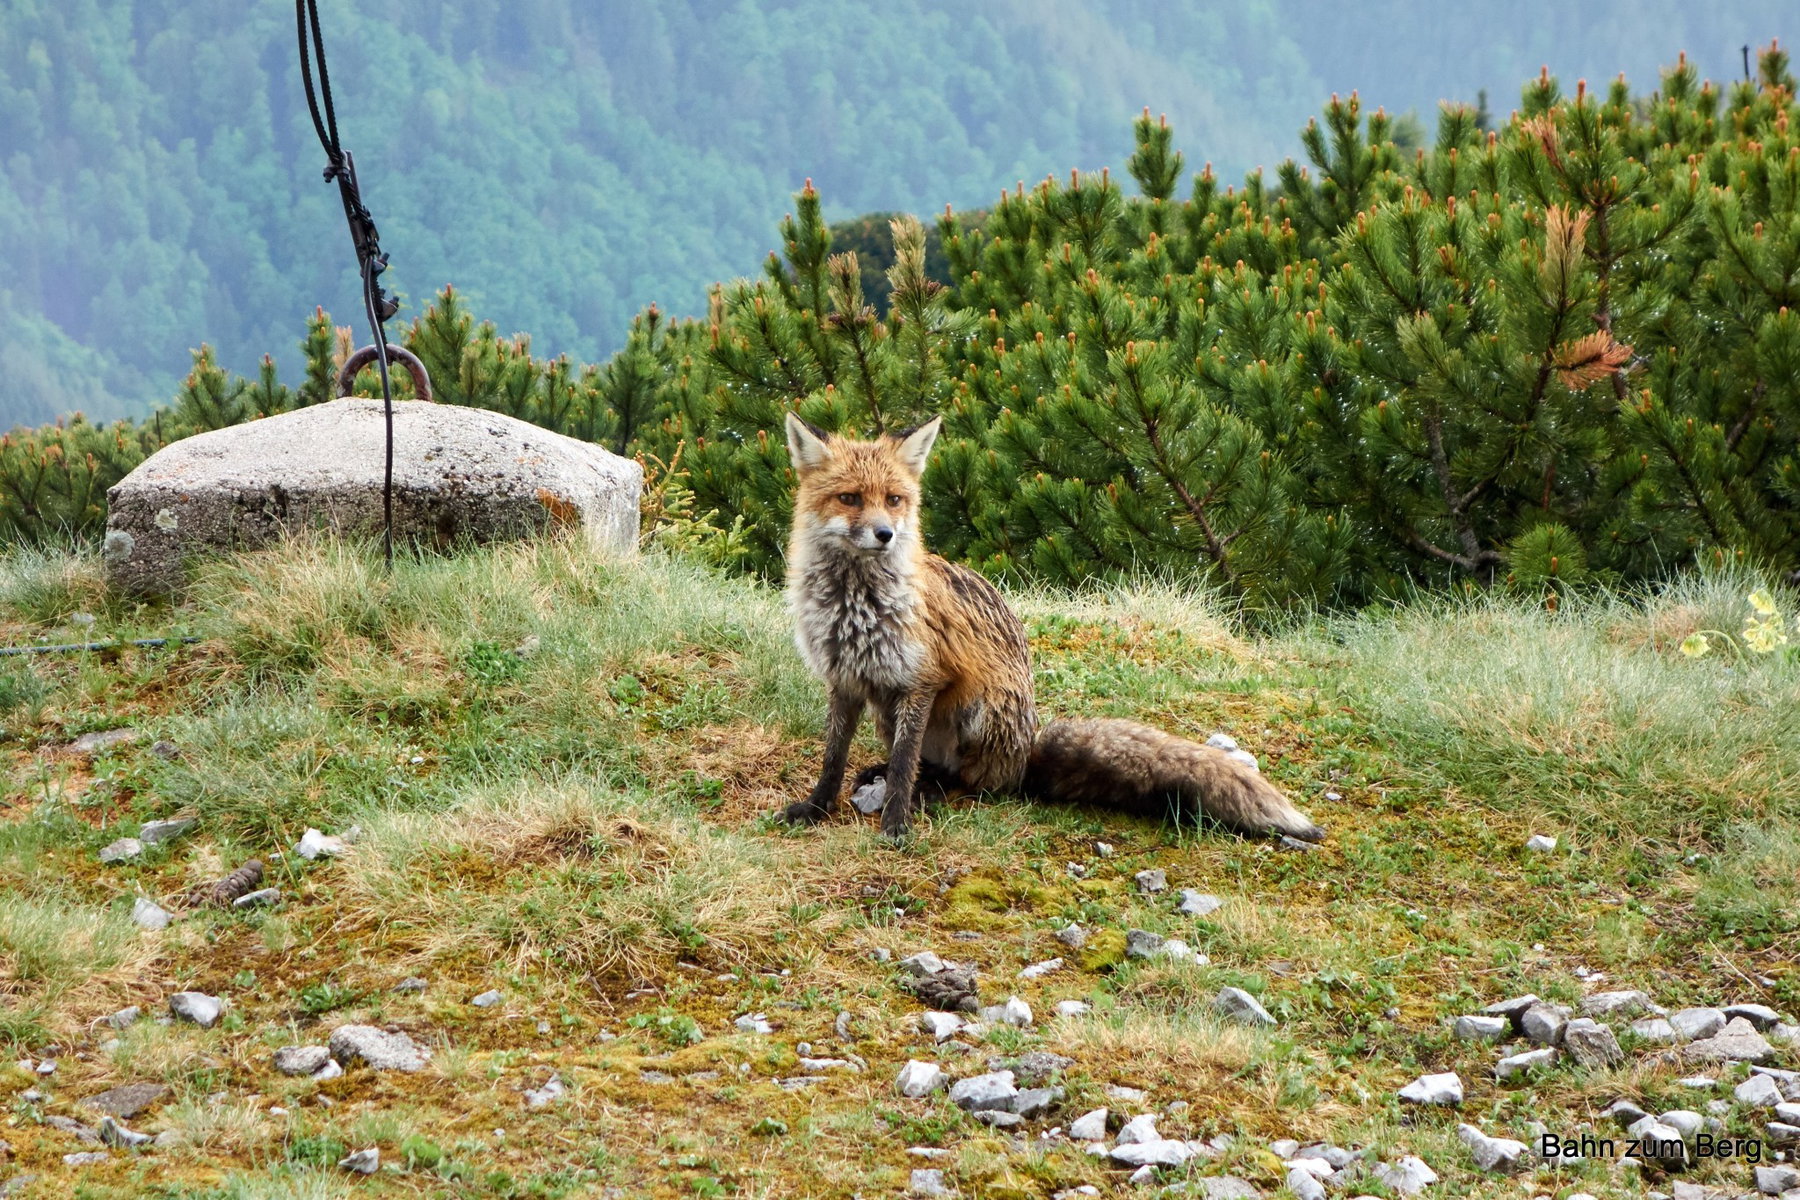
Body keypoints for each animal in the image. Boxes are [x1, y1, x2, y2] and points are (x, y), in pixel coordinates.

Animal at [779, 411, 1326, 844]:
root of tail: (1027, 753)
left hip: (978, 711)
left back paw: (936, 790)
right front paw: (817, 808)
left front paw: (895, 825)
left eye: (894, 499)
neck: (856, 605)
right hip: (885, 711)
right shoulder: (844, 680)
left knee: (975, 782)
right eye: (850, 498)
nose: (886, 534)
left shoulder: (922, 679)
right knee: (928, 763)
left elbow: (901, 767)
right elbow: (834, 758)